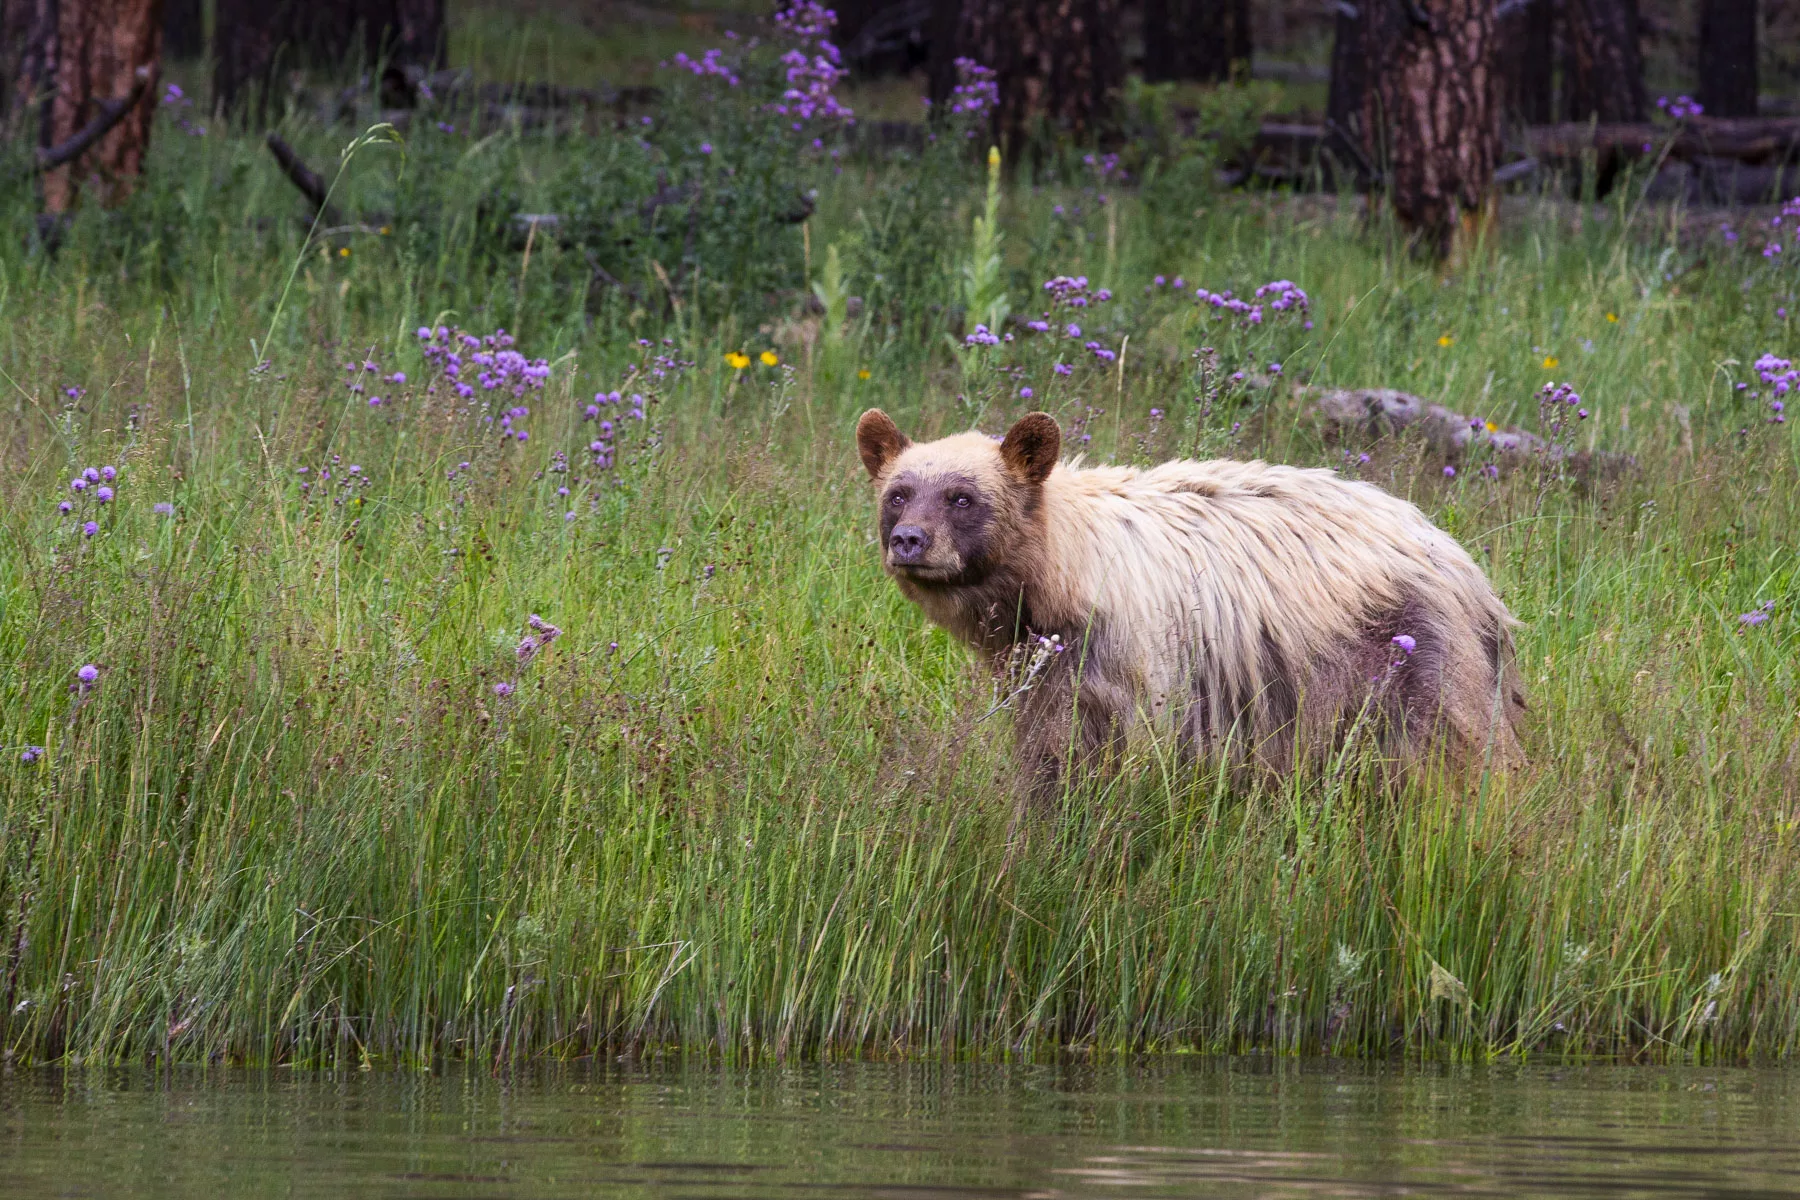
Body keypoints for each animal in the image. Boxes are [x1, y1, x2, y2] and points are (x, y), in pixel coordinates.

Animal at [853, 408, 1519, 791]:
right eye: (899, 492)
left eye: (962, 497)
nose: (909, 540)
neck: (1063, 572)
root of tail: (1469, 569)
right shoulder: (1041, 671)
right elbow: (1047, 747)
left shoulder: (1131, 658)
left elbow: (1108, 754)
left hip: (1410, 663)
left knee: (1448, 760)